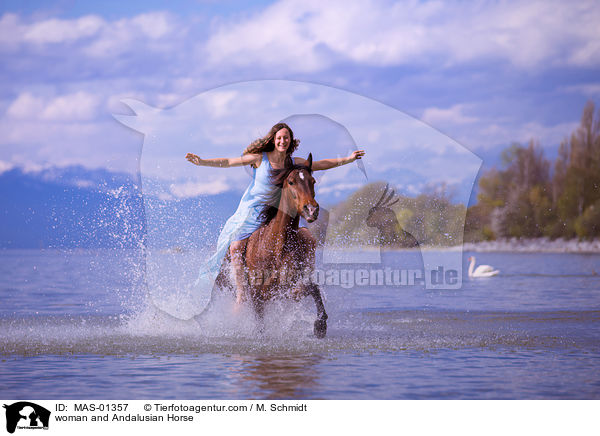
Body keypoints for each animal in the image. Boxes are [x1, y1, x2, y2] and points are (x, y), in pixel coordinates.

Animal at [216, 153, 328, 338]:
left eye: (313, 181)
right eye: (291, 182)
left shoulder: (285, 286)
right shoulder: (258, 294)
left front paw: (320, 326)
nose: (311, 210)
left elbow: (312, 288)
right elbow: (260, 321)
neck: (275, 245)